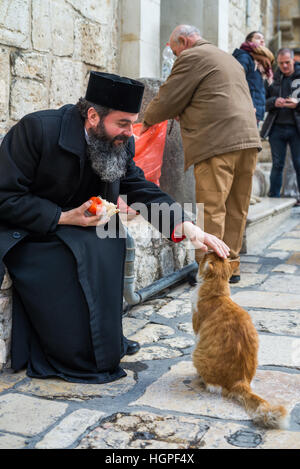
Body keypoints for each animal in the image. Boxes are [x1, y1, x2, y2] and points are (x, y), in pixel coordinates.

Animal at [192, 252, 288, 428]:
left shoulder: (196, 329)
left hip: (196, 355)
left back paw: (201, 379)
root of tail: (240, 381)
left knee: (213, 386)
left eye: (207, 255)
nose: (206, 250)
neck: (218, 294)